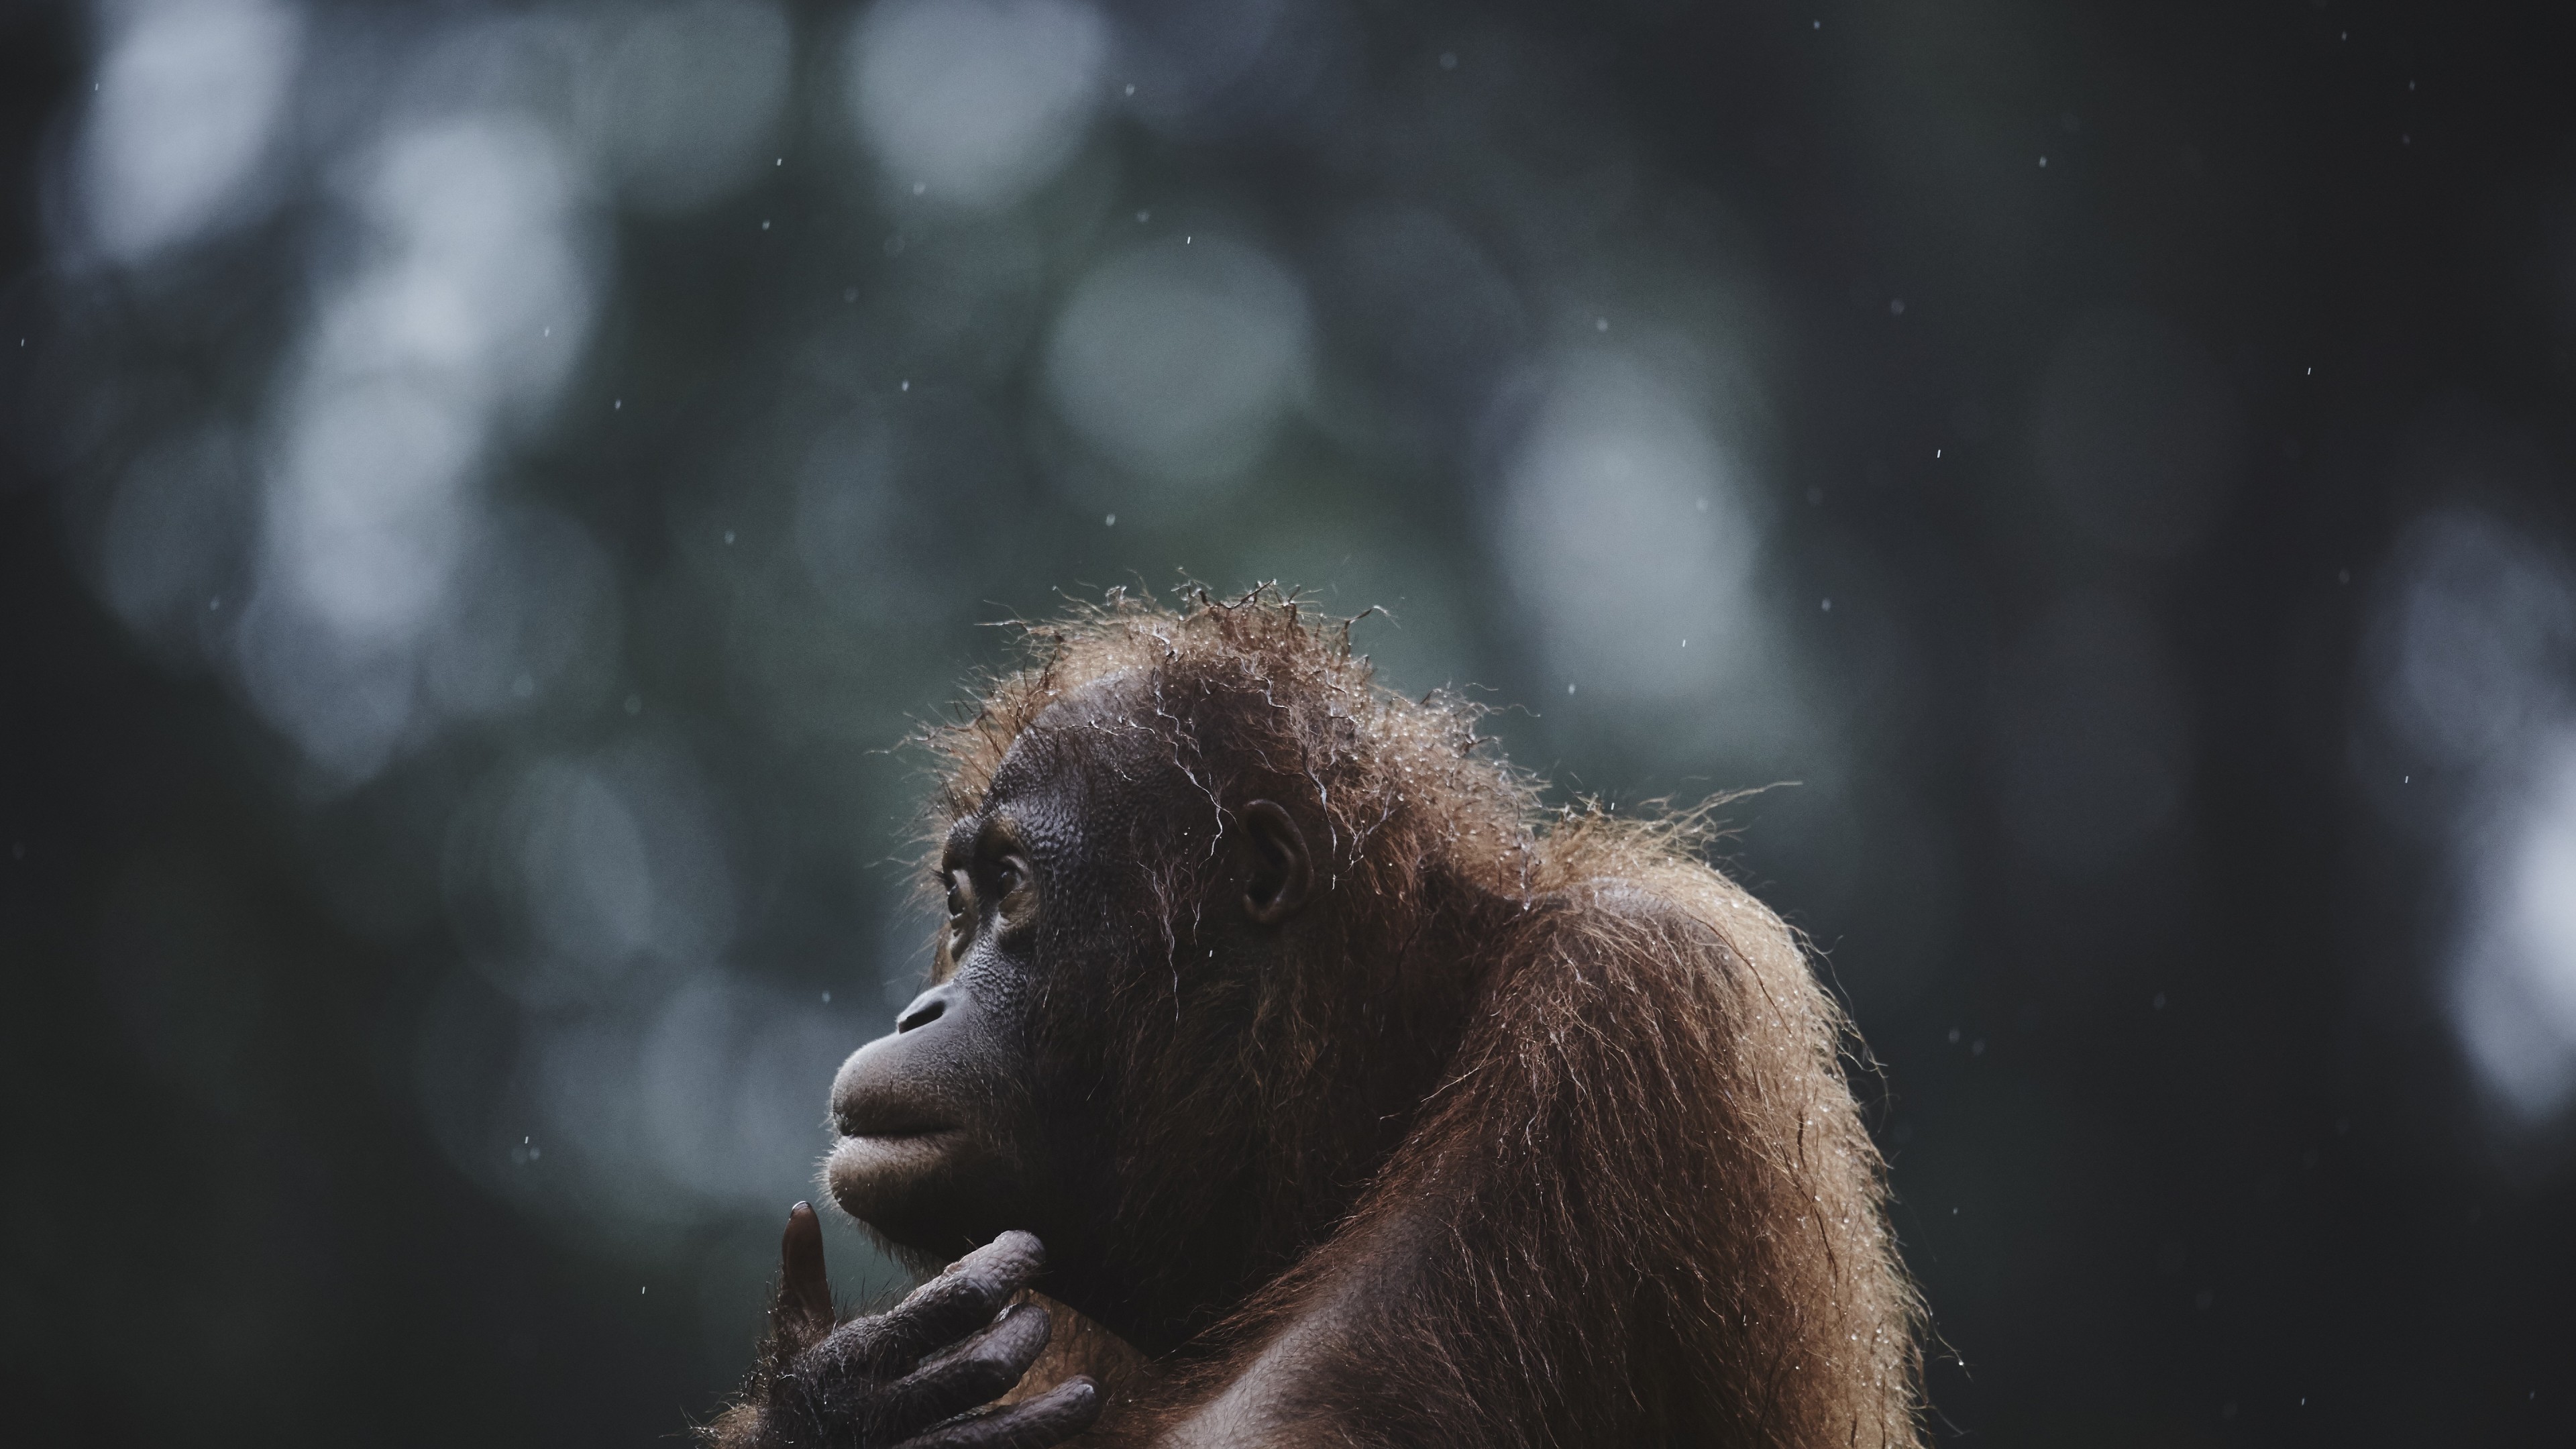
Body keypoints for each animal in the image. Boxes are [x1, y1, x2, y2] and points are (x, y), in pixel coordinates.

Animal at [709, 588, 1922, 1448]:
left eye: (1012, 889)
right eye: (960, 907)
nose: (922, 1010)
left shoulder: (1625, 1008)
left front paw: (839, 1410)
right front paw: (826, 1406)